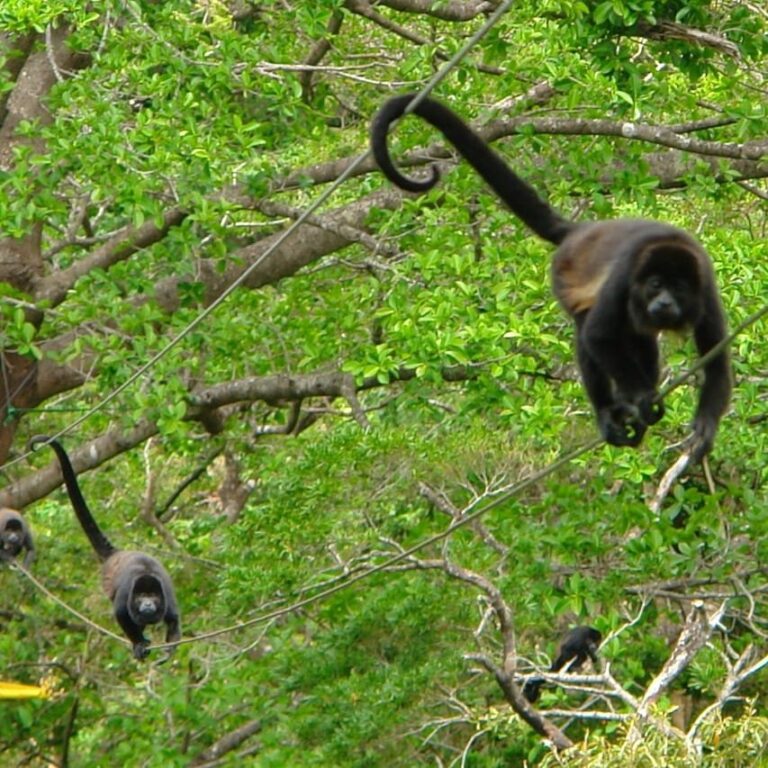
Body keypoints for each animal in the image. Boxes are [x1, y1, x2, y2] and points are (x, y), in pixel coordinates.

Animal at [30, 436, 181, 661]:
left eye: (152, 596)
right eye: (141, 597)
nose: (147, 604)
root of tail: (117, 552)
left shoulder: (167, 594)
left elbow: (173, 619)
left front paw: (169, 650)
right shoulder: (127, 591)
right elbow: (121, 614)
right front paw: (139, 644)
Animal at [371, 95, 731, 459]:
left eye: (678, 287)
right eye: (657, 284)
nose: (664, 302)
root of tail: (579, 233)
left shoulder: (706, 287)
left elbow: (717, 359)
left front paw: (705, 426)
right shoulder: (625, 273)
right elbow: (598, 335)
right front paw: (640, 397)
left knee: (638, 338)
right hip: (563, 274)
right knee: (588, 329)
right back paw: (611, 412)